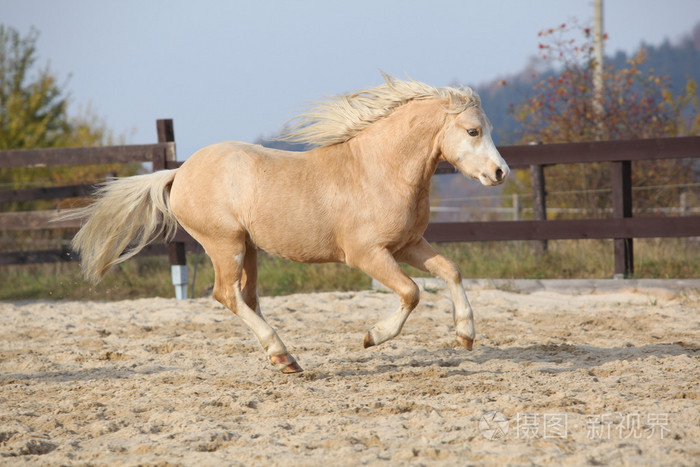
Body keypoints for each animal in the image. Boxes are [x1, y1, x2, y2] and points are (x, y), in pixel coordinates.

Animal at [70, 75, 510, 373]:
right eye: (473, 130)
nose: (500, 173)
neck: (379, 170)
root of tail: (180, 172)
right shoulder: (367, 255)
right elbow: (412, 292)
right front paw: (372, 337)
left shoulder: (408, 244)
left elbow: (451, 271)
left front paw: (465, 335)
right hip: (224, 244)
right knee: (225, 295)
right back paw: (282, 355)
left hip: (248, 249)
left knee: (245, 297)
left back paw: (285, 359)